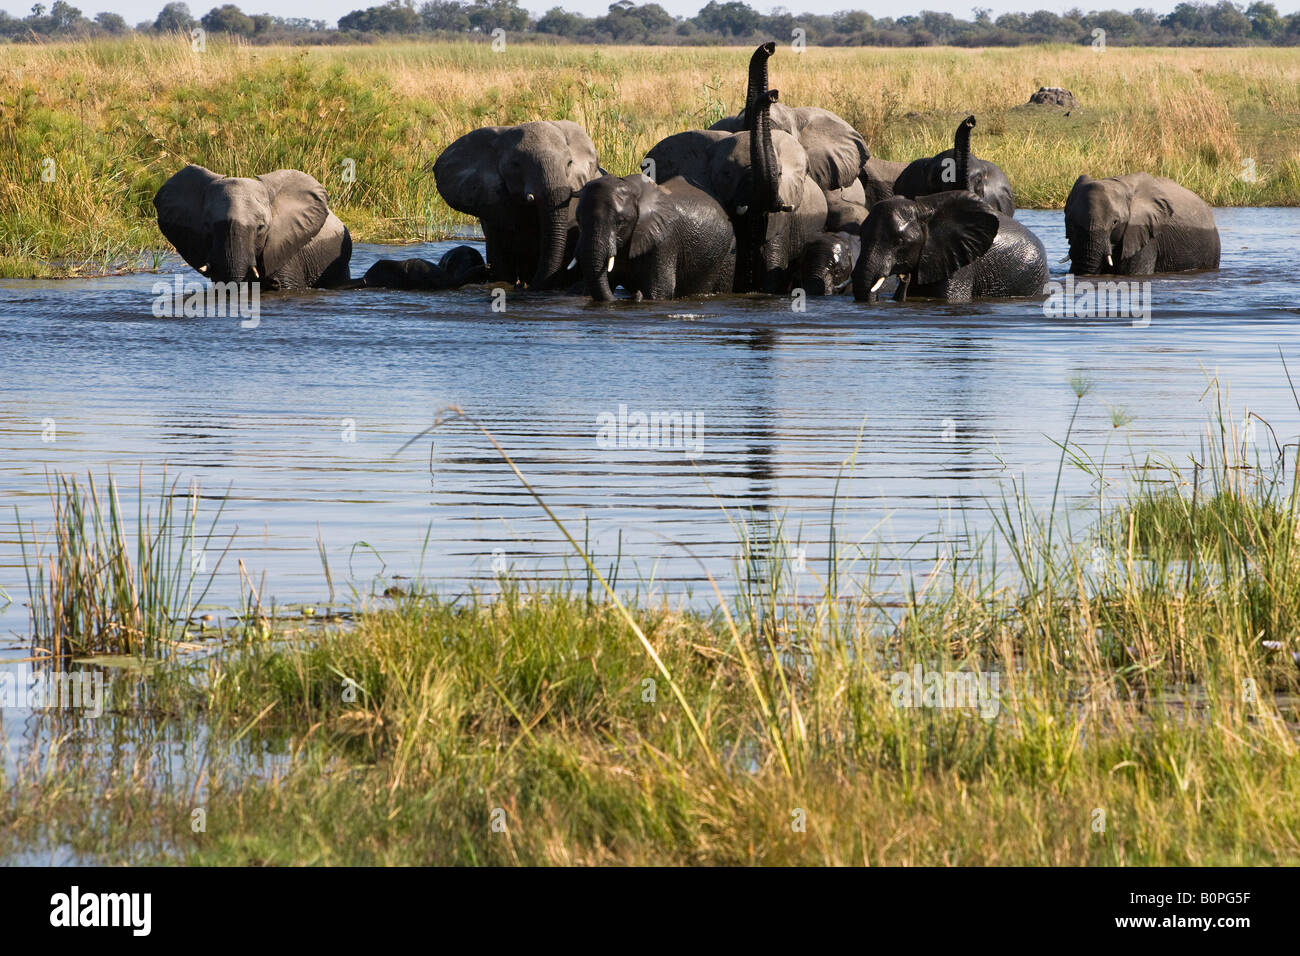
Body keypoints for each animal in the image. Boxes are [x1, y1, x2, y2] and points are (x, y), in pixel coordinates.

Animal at [575, 173, 735, 301]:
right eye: (578, 220)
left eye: (620, 222)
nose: (635, 294)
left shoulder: (664, 240)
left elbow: (659, 292)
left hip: (728, 254)